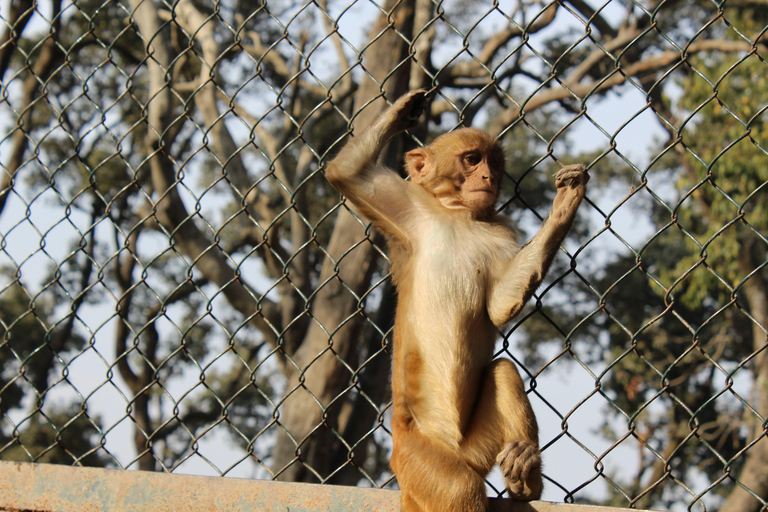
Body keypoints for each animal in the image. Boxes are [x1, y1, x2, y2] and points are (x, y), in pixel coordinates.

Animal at [324, 90, 588, 510]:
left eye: (494, 162)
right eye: (472, 159)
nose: (489, 178)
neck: (461, 215)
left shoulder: (503, 230)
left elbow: (499, 304)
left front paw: (564, 206)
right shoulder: (410, 209)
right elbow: (345, 173)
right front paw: (404, 109)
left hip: (476, 449)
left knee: (503, 372)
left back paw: (525, 476)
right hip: (418, 459)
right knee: (457, 487)